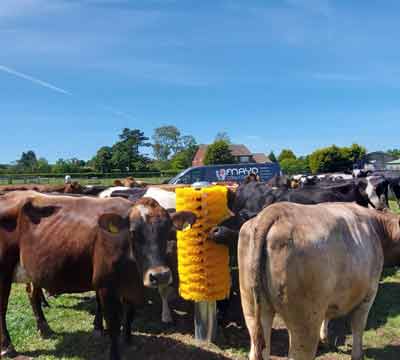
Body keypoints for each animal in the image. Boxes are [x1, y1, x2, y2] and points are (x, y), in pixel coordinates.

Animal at [0, 190, 195, 358]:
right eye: (133, 233)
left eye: (168, 231)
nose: (160, 275)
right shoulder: (105, 287)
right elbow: (113, 324)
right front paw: (114, 352)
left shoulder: (131, 287)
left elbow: (129, 315)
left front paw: (128, 340)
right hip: (4, 270)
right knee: (3, 308)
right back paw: (8, 347)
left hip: (33, 270)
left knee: (32, 294)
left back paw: (44, 328)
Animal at [239, 202, 398, 360]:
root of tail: (275, 210)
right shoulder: (368, 295)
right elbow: (358, 326)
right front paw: (357, 355)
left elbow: (327, 316)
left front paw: (324, 339)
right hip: (305, 320)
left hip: (253, 308)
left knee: (258, 347)